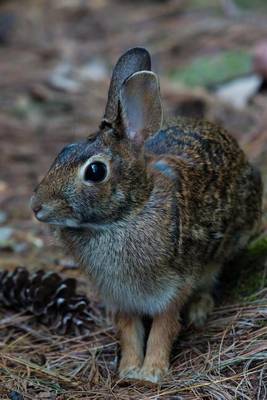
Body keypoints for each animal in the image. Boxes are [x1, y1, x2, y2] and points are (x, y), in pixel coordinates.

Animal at [31, 47, 264, 384]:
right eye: (63, 151)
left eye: (95, 171)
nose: (36, 206)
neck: (126, 215)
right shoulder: (121, 298)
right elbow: (129, 331)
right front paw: (129, 370)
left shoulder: (173, 287)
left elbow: (162, 328)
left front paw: (152, 372)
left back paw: (199, 310)